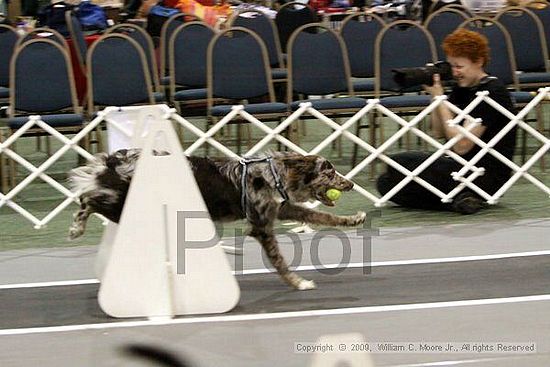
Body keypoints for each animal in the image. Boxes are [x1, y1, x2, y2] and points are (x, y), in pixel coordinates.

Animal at [69, 150, 368, 290]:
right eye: (330, 173)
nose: (352, 184)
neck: (275, 174)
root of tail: (115, 160)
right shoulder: (261, 226)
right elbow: (281, 262)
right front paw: (299, 283)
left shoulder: (281, 210)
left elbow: (322, 215)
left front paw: (354, 219)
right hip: (121, 205)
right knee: (88, 198)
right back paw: (76, 227)